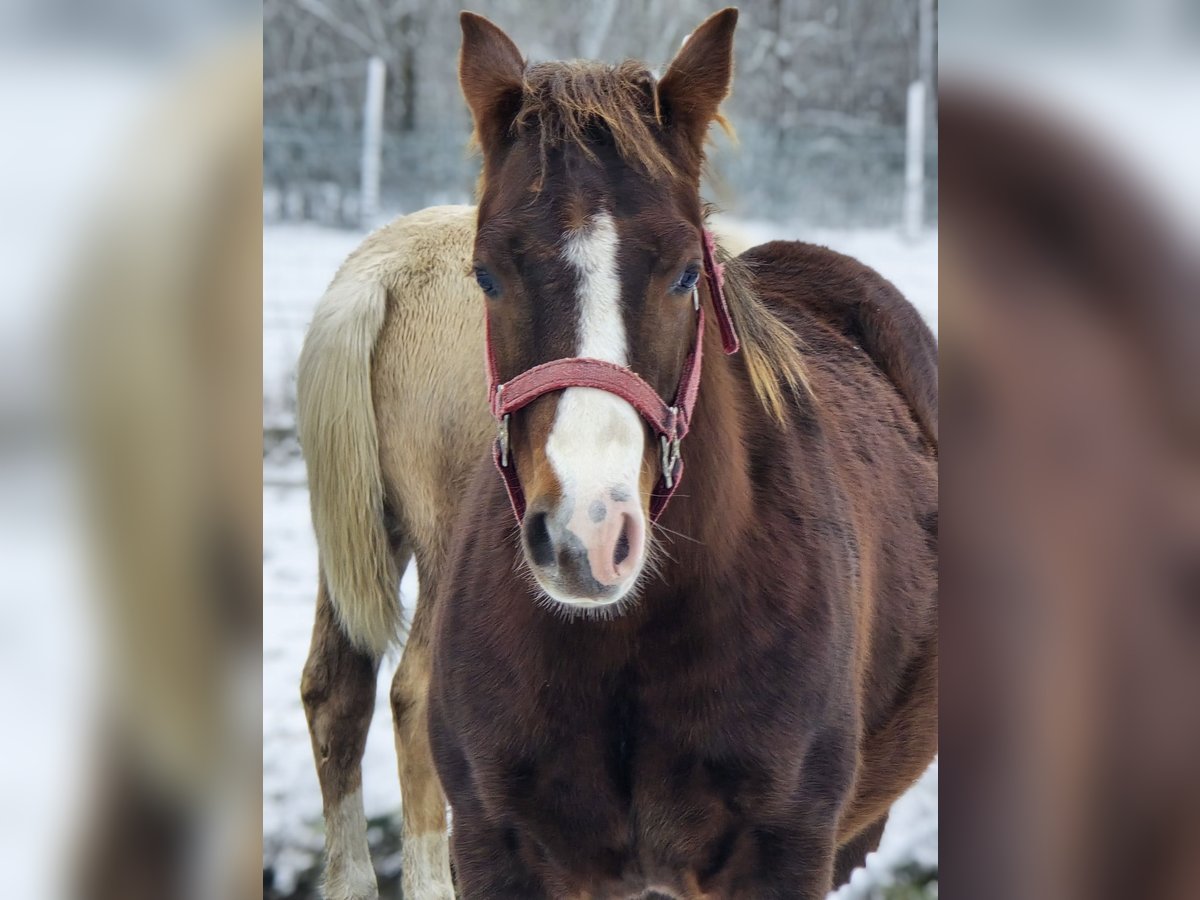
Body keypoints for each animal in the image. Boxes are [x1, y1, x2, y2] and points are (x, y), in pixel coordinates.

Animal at [296, 10, 937, 899]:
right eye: (486, 275)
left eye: (686, 276)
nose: (588, 533)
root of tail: (375, 276)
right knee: (405, 693)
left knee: (338, 694)